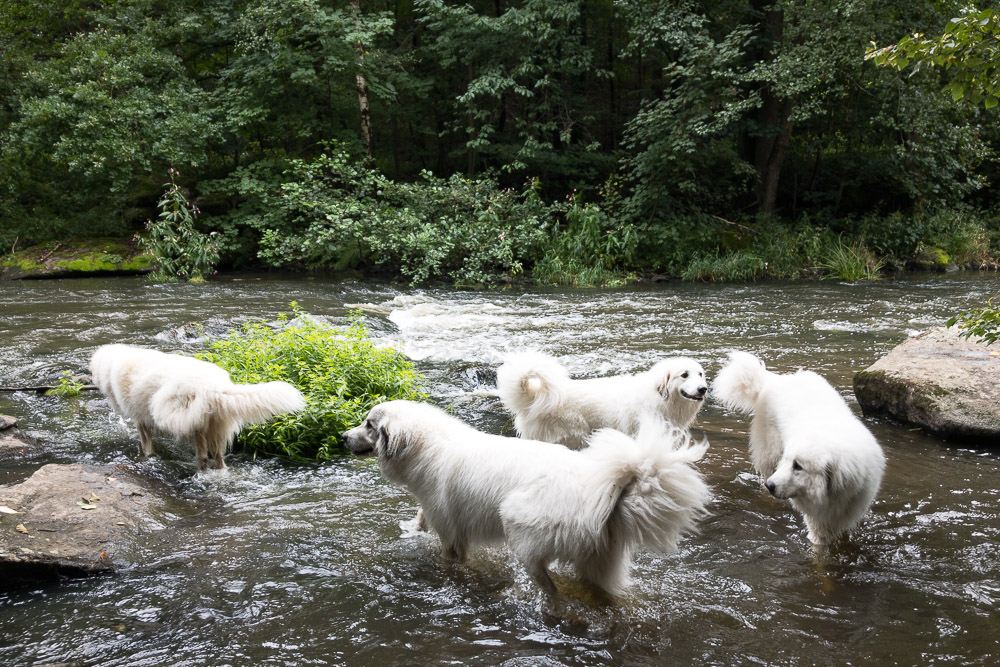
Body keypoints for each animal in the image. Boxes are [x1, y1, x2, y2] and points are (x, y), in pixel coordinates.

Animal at [91, 344, 306, 470]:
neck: (113, 363)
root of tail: (213, 385)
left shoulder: (140, 420)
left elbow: (146, 444)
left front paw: (148, 456)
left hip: (182, 415)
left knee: (202, 454)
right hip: (215, 423)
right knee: (218, 456)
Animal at [344, 400, 712, 596]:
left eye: (368, 424)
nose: (344, 437)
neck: (428, 446)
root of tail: (605, 492)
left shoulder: (452, 534)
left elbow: (451, 556)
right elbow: (420, 517)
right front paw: (412, 527)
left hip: (519, 527)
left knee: (547, 584)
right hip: (600, 564)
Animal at [496, 352, 708, 452]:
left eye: (700, 374)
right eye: (684, 375)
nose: (703, 389)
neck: (658, 399)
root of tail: (535, 398)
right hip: (575, 436)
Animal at [712, 352, 884, 544]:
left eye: (798, 466)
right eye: (788, 462)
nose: (771, 485)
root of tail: (774, 378)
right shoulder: (817, 522)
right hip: (770, 453)